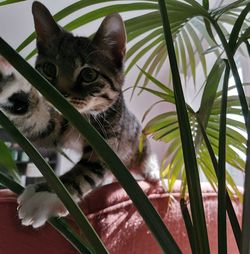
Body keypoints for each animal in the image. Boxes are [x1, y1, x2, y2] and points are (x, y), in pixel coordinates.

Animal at [0, 0, 158, 228]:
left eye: (88, 74)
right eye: (49, 69)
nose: (59, 93)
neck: (84, 117)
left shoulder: (109, 141)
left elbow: (87, 169)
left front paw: (47, 195)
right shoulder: (56, 124)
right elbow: (40, 123)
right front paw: (9, 83)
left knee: (145, 150)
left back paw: (151, 168)